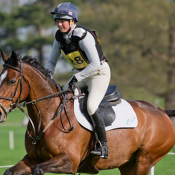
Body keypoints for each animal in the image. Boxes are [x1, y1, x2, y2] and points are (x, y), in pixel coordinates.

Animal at [0, 49, 174, 175]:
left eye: (12, 81)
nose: (0, 113)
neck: (48, 117)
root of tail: (162, 112)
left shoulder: (69, 161)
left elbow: (38, 169)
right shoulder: (32, 159)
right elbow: (9, 171)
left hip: (144, 159)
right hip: (127, 164)